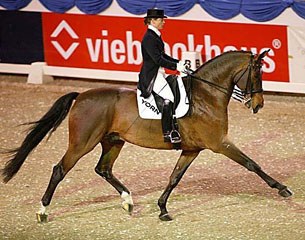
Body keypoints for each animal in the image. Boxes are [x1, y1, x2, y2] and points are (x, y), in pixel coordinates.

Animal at [2, 50, 292, 221]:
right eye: (257, 72)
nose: (258, 105)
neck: (206, 95)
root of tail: (81, 95)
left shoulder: (192, 149)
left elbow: (174, 177)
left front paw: (162, 208)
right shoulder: (220, 143)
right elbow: (252, 164)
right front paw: (282, 188)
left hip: (113, 141)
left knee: (103, 169)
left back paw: (128, 201)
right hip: (82, 143)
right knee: (59, 169)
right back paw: (42, 211)